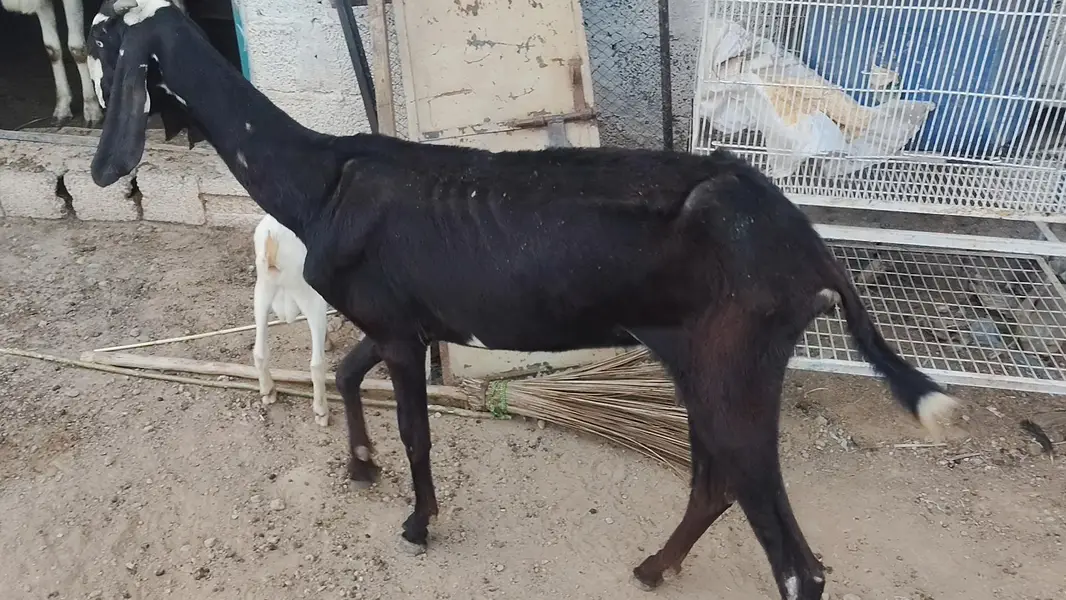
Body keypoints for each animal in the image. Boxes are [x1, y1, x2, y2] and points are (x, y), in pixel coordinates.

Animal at [253, 213, 332, 427]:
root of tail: (273, 239)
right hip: (312, 297)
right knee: (316, 364)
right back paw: (321, 412)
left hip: (261, 292)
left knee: (259, 352)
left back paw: (268, 392)